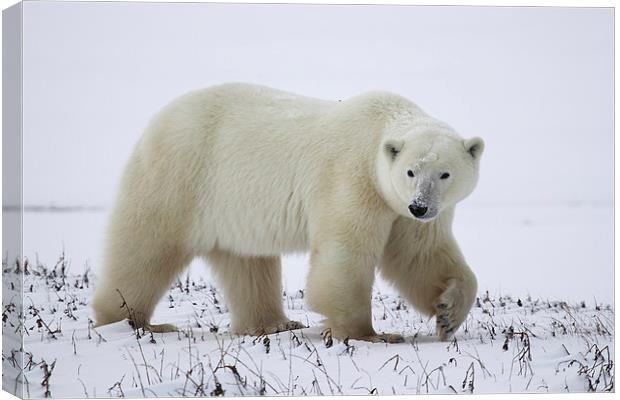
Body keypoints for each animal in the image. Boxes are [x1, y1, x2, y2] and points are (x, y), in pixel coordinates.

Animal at [89, 83, 482, 342]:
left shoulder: (400, 209)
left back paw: (273, 324)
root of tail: (157, 121)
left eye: (445, 173)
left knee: (247, 264)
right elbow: (346, 254)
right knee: (145, 248)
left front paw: (448, 314)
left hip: (231, 205)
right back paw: (133, 322)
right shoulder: (353, 180)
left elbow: (420, 255)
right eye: (411, 171)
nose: (420, 205)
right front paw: (369, 334)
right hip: (180, 175)